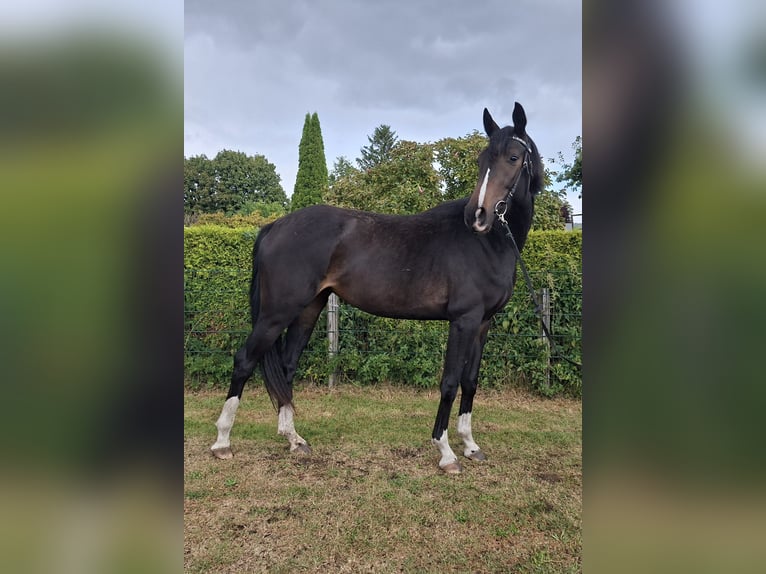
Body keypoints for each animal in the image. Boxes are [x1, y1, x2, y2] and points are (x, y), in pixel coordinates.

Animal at [211, 102, 543, 474]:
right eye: (483, 160)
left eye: (513, 157)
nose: (478, 215)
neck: (488, 243)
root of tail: (274, 226)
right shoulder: (464, 321)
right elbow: (449, 382)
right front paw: (446, 453)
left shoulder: (483, 323)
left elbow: (470, 381)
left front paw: (471, 446)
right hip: (276, 313)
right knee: (244, 360)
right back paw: (222, 442)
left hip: (308, 309)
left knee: (286, 367)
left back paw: (294, 440)